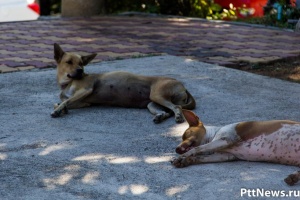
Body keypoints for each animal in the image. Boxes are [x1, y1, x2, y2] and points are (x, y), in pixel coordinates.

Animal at [50, 43, 196, 122]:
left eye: (81, 63)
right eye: (69, 62)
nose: (80, 70)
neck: (68, 83)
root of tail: (182, 85)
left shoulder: (85, 90)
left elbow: (64, 101)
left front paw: (58, 110)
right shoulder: (83, 102)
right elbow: (60, 102)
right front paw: (61, 109)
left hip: (157, 95)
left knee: (177, 107)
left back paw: (178, 116)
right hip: (152, 103)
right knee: (168, 111)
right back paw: (161, 116)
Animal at [171, 109, 300, 186]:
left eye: (186, 135)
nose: (176, 149)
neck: (214, 134)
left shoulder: (225, 140)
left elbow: (197, 148)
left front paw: (181, 157)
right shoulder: (225, 155)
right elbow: (199, 157)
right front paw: (185, 161)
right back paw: (294, 177)